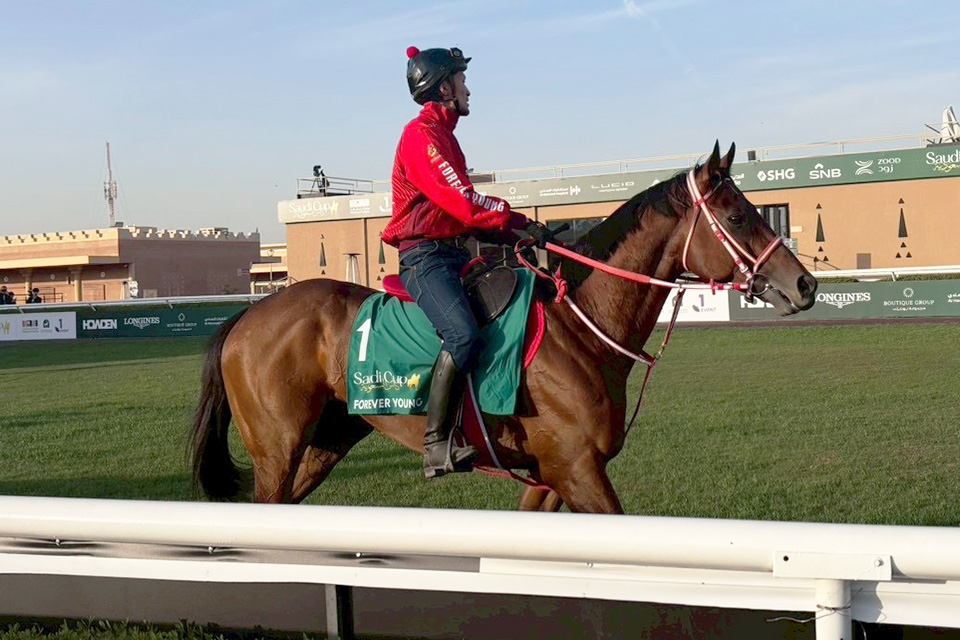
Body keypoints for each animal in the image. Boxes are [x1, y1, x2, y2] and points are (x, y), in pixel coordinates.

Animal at [189, 142, 817, 514]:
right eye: (738, 215)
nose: (805, 285)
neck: (578, 327)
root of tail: (249, 314)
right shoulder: (578, 470)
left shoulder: (549, 476)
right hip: (278, 450)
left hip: (325, 443)